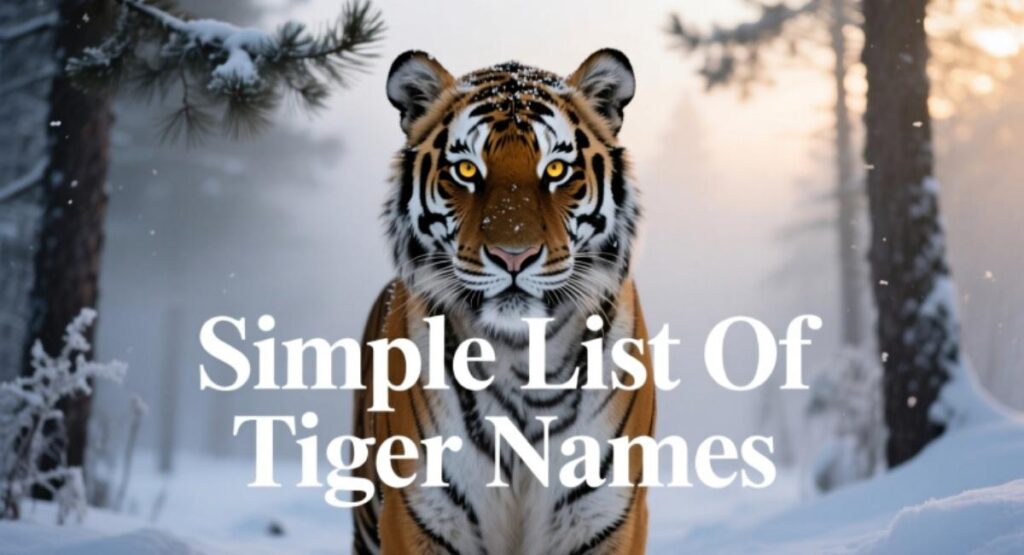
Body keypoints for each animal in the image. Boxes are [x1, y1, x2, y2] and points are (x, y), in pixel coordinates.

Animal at [352, 49, 655, 555]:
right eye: (467, 170)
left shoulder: (605, 517)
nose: (514, 255)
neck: (524, 360)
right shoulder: (419, 515)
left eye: (555, 170)